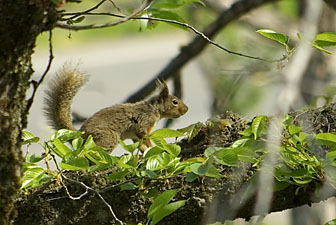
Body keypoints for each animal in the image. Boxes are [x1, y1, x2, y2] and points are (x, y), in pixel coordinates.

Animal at [43, 63, 189, 153]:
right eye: (175, 102)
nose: (186, 109)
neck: (154, 109)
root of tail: (80, 135)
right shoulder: (144, 122)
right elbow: (145, 138)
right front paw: (152, 148)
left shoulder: (135, 135)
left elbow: (140, 145)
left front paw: (145, 152)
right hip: (108, 138)